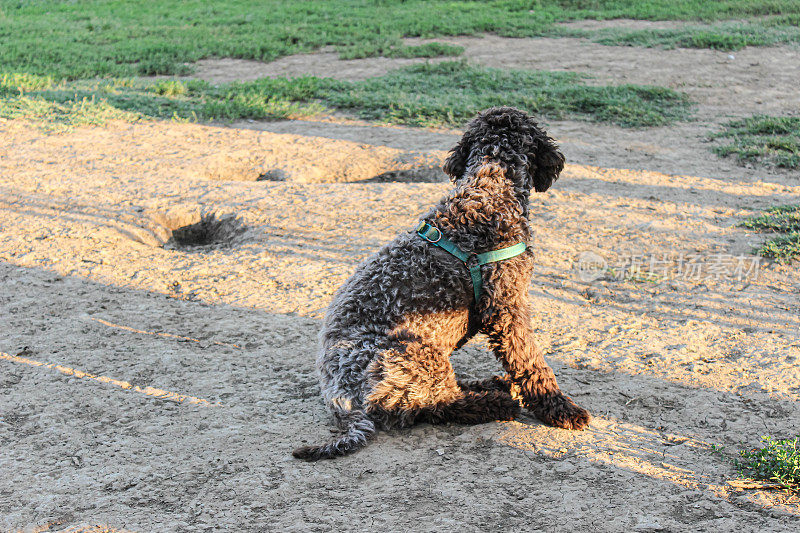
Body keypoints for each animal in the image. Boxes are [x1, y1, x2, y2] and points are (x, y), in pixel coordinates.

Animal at [294, 106, 588, 460]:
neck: (489, 188)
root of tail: (343, 401)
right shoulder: (506, 308)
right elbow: (530, 362)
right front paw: (560, 409)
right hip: (417, 355)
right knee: (437, 406)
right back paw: (495, 402)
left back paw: (489, 386)